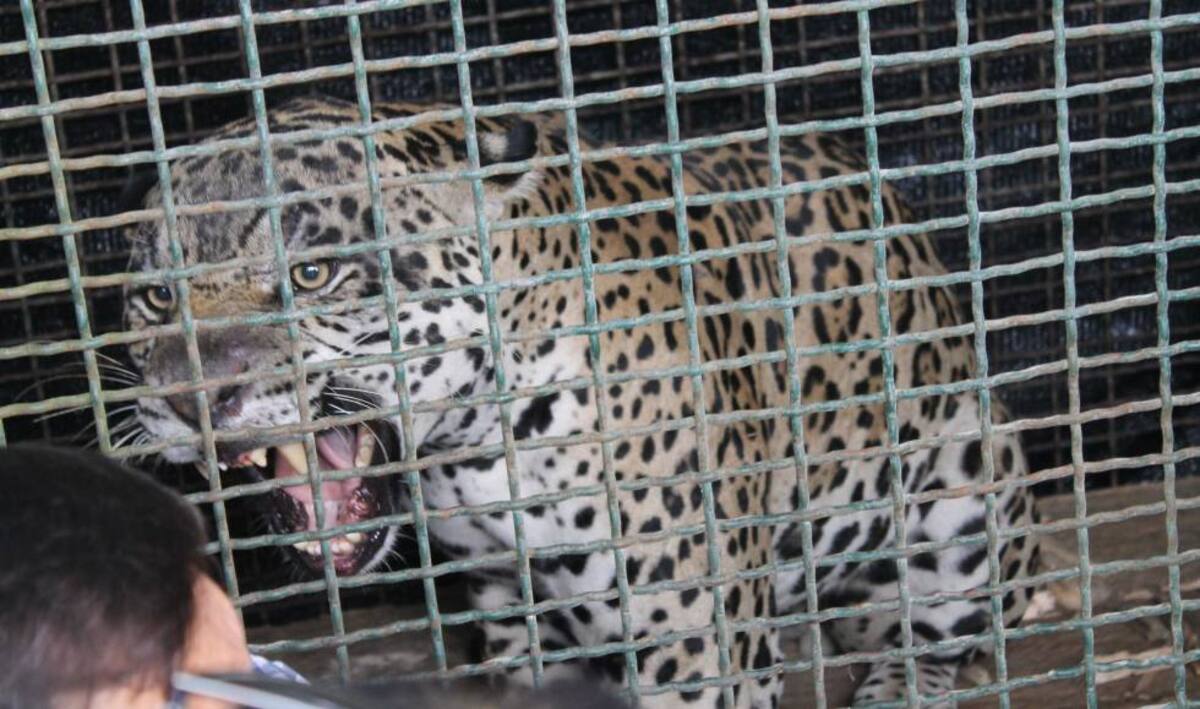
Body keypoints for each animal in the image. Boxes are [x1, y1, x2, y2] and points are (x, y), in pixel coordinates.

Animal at [122, 96, 1039, 707]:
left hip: (971, 491)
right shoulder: (513, 610)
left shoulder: (697, 648)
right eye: (156, 298)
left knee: (948, 632)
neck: (473, 453)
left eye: (313, 274)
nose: (192, 398)